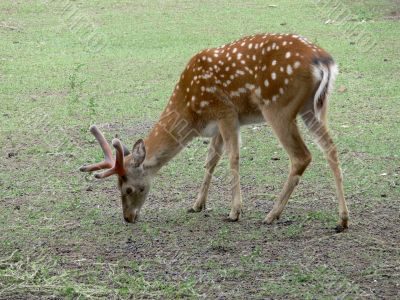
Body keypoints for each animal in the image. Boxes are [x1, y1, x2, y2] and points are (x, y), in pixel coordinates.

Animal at [80, 32, 350, 231]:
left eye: (128, 188)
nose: (127, 217)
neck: (192, 113)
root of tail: (323, 61)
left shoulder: (226, 112)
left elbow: (233, 158)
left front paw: (235, 211)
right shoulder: (217, 125)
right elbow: (211, 160)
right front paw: (197, 204)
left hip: (278, 106)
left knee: (301, 156)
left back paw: (272, 214)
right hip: (315, 107)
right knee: (331, 148)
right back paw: (343, 219)